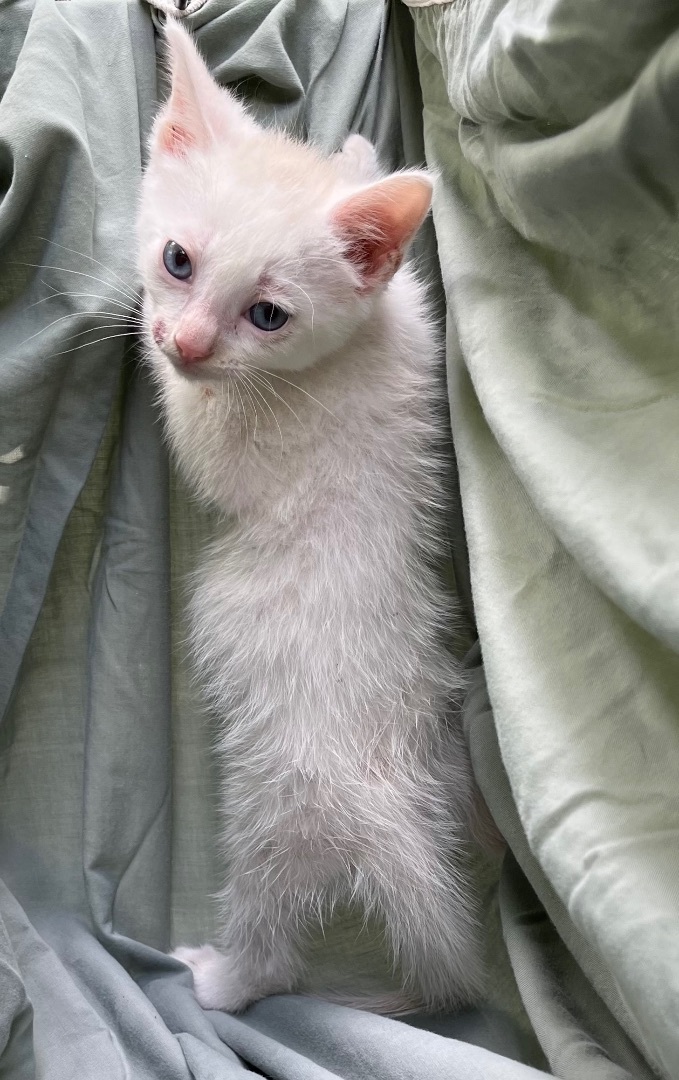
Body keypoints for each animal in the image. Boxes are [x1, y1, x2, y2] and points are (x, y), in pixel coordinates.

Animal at [139, 23, 481, 1010]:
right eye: (178, 259)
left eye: (267, 314)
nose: (186, 342)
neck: (353, 351)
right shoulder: (414, 319)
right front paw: (358, 157)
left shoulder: (265, 445)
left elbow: (200, 448)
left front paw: (147, 353)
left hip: (276, 806)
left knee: (274, 929)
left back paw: (222, 978)